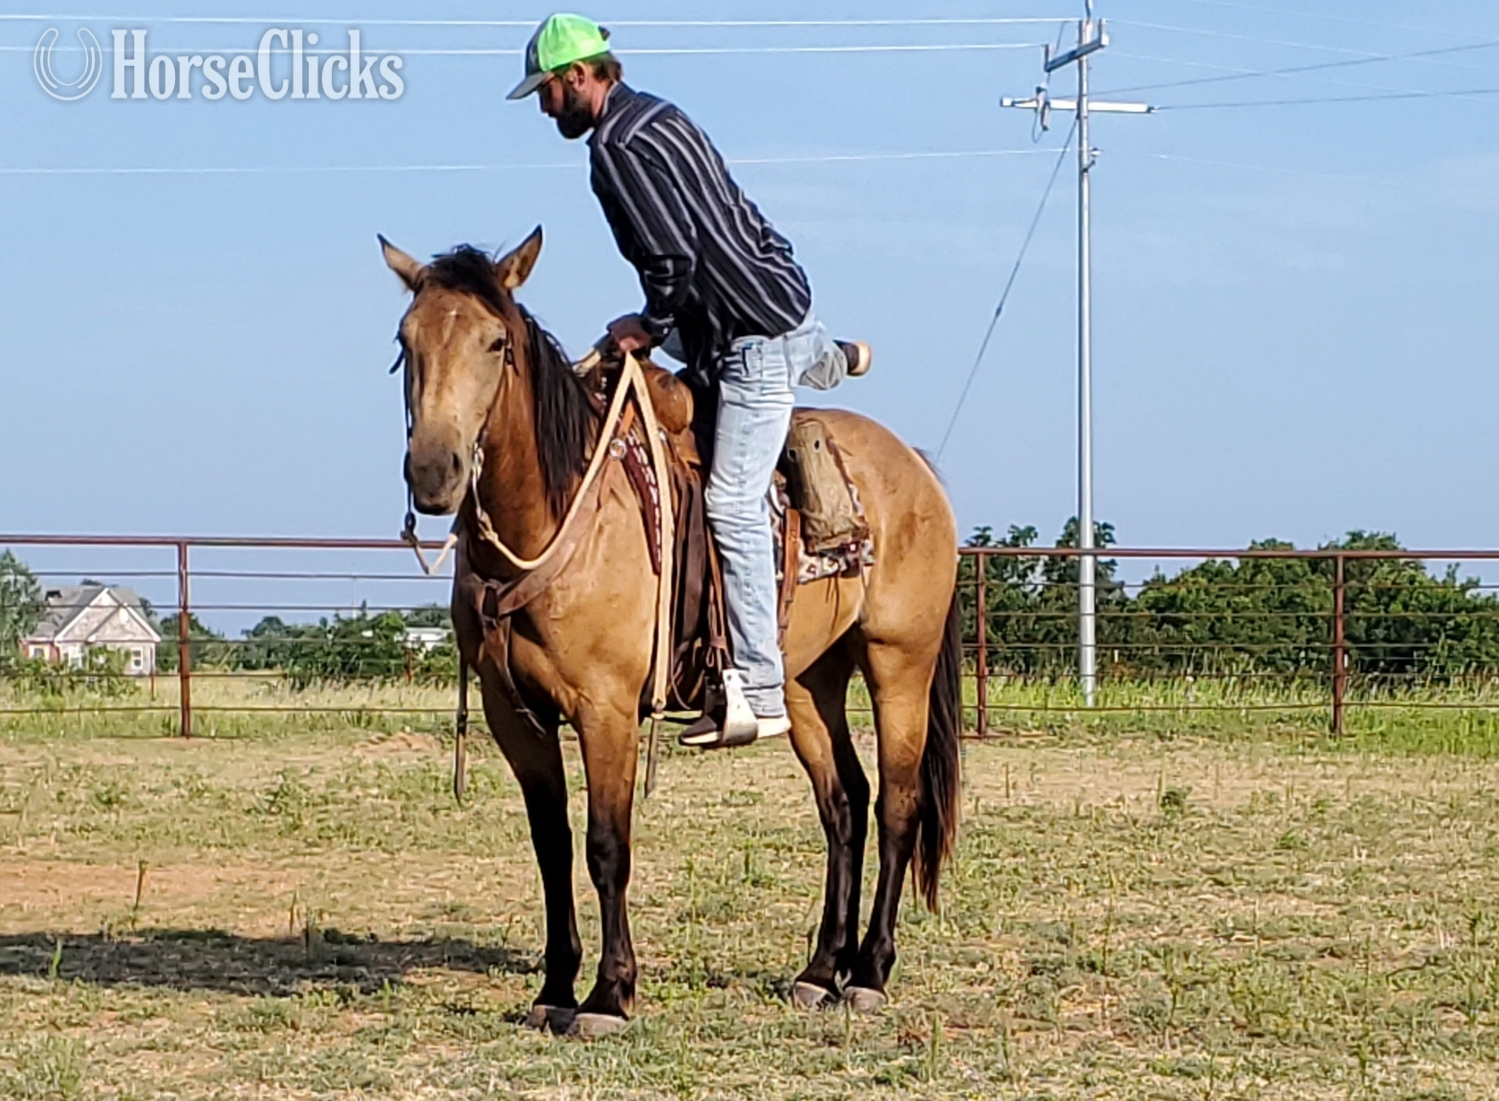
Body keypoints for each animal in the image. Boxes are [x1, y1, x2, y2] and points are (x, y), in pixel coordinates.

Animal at [380, 228, 961, 1037]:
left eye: (496, 342)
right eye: (406, 341)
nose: (434, 471)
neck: (560, 515)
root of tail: (917, 469)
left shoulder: (606, 709)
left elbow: (605, 845)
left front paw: (608, 994)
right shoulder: (513, 714)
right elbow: (551, 843)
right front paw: (554, 986)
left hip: (898, 661)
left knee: (897, 804)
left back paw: (870, 972)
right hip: (806, 680)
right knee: (843, 803)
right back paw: (821, 969)